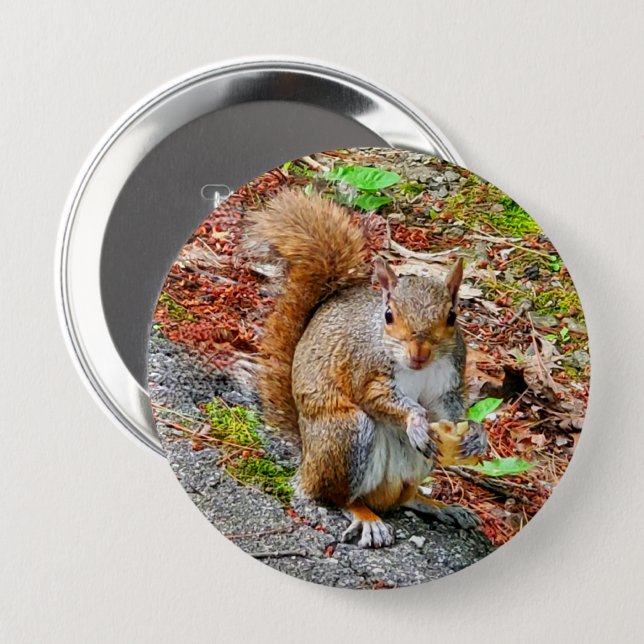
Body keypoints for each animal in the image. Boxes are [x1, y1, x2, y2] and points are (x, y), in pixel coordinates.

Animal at [245, 188, 487, 548]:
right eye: (389, 315)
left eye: (452, 317)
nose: (419, 354)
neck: (418, 370)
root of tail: (307, 461)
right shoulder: (366, 369)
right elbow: (377, 397)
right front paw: (416, 420)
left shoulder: (448, 381)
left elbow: (448, 409)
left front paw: (475, 433)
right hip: (347, 435)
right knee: (337, 497)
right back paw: (366, 518)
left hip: (413, 465)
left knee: (399, 500)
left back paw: (436, 505)